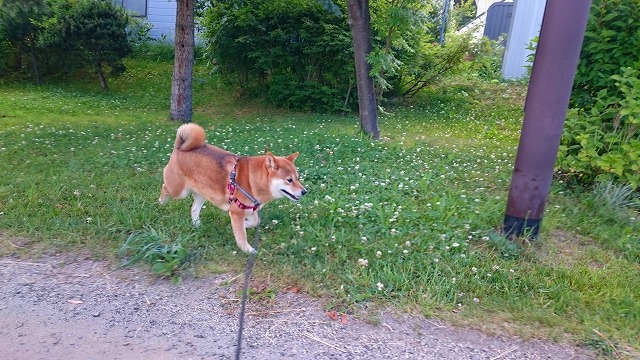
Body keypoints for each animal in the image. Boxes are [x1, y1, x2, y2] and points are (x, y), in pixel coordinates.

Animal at [159, 124, 306, 253]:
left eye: (298, 178)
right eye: (289, 180)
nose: (305, 191)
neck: (252, 180)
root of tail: (179, 148)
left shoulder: (250, 209)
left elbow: (255, 222)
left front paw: (245, 225)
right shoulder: (237, 211)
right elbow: (242, 235)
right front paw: (248, 249)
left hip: (203, 193)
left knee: (194, 209)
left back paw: (197, 225)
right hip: (179, 191)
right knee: (164, 186)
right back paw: (162, 201)